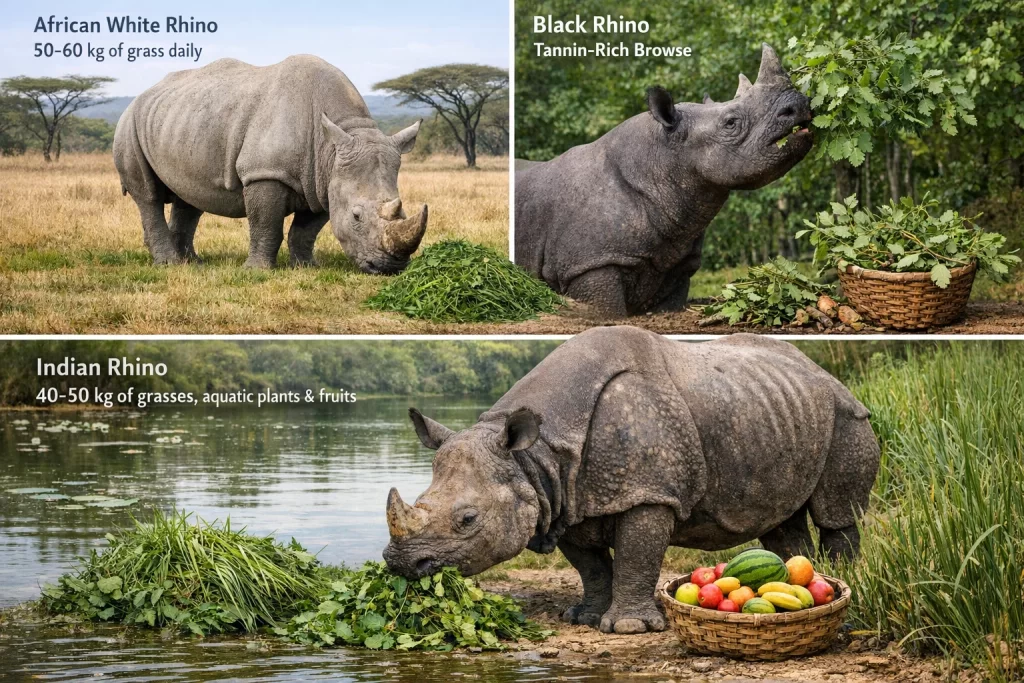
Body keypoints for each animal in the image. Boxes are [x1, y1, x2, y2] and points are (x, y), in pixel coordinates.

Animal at [114, 55, 427, 273]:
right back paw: (169, 265)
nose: (389, 268)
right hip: (129, 123)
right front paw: (257, 272)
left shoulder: (322, 181)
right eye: (356, 217)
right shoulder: (266, 173)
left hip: (182, 119)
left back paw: (192, 263)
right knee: (149, 196)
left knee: (189, 197)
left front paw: (306, 268)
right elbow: (266, 224)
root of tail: (144, 93)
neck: (331, 145)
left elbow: (305, 231)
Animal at [384, 326, 879, 635]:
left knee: (836, 511)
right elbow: (590, 564)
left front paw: (627, 627)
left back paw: (845, 577)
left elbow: (638, 554)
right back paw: (812, 572)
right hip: (775, 407)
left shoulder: (649, 492)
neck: (536, 455)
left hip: (847, 415)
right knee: (780, 521)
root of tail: (821, 372)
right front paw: (584, 618)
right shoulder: (566, 496)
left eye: (468, 519)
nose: (403, 565)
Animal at [514, 44, 812, 316]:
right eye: (730, 123)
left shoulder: (678, 261)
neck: (662, 158)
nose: (799, 106)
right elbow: (607, 312)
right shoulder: (589, 263)